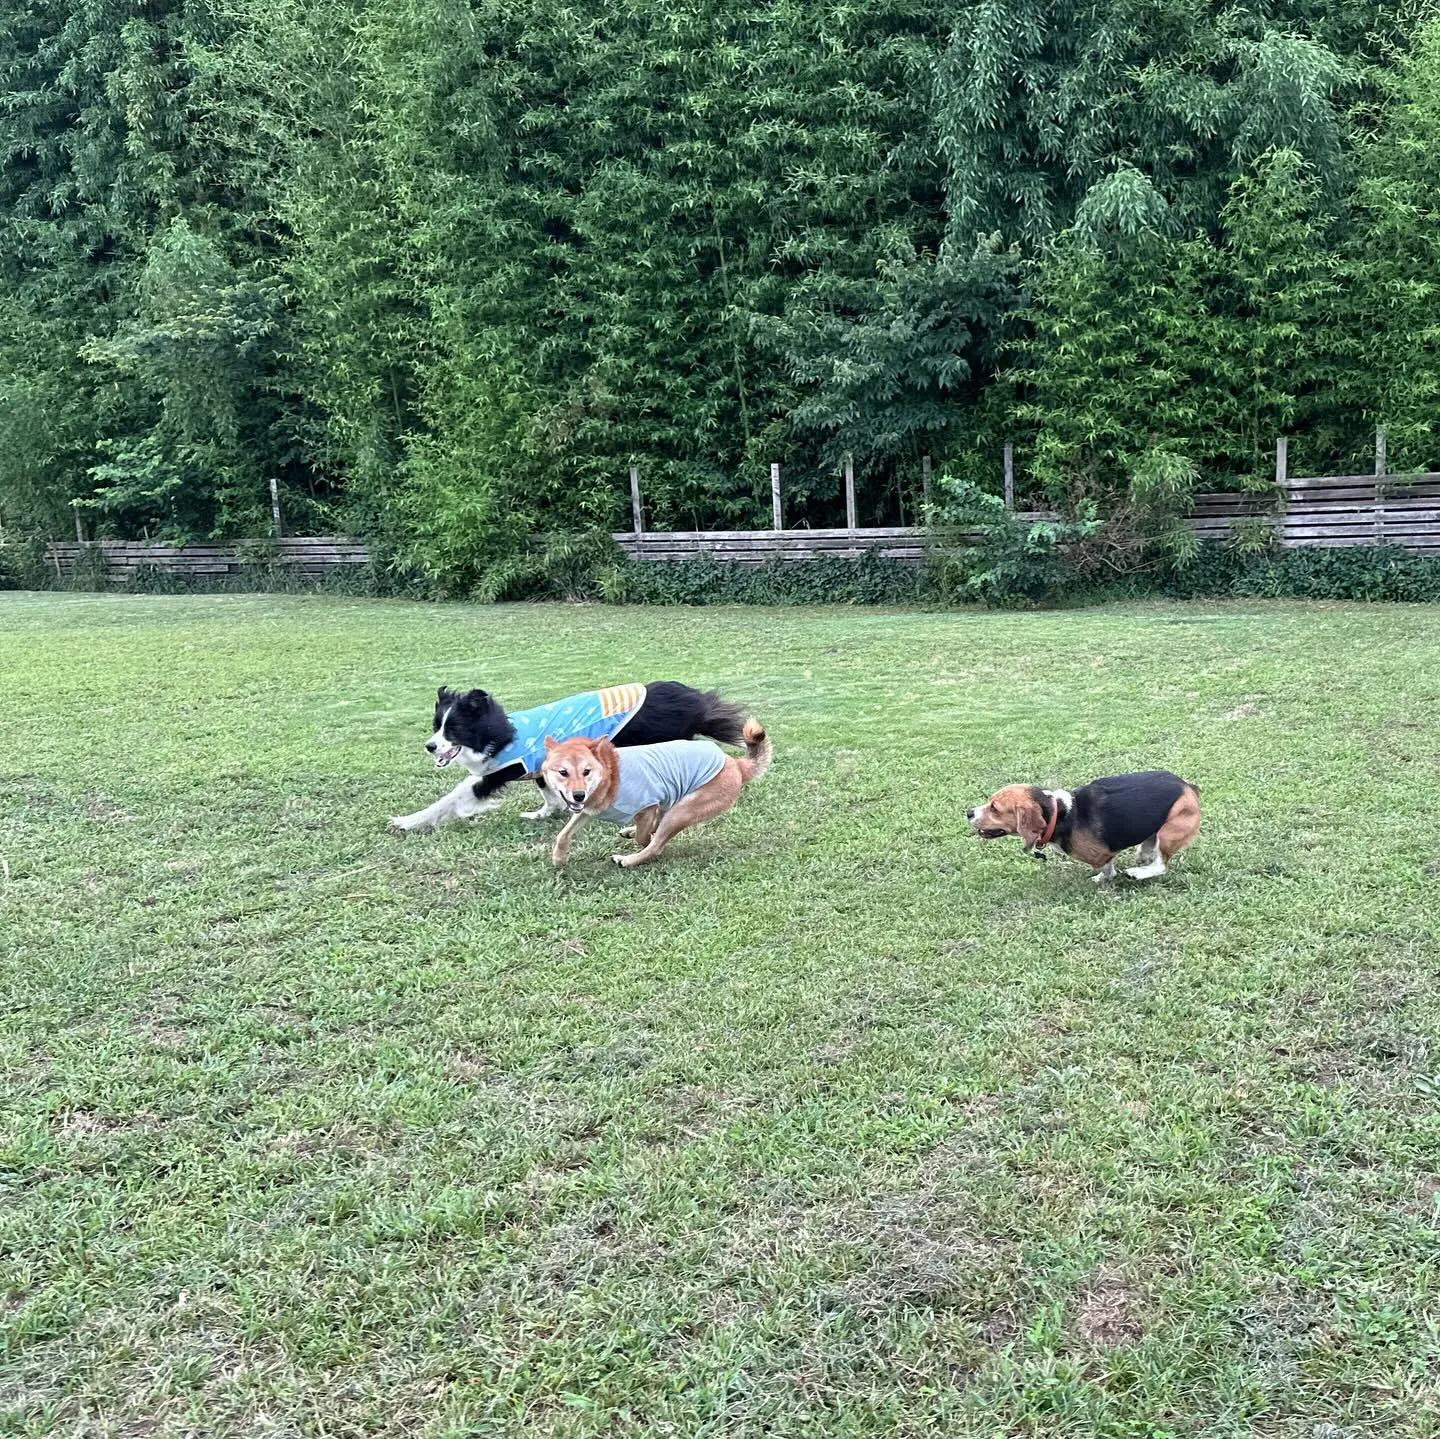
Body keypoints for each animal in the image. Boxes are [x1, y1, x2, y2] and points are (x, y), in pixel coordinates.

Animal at [388, 682, 748, 841]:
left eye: (454, 729)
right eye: (436, 725)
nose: (430, 746)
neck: (498, 731)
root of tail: (694, 702)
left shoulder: (493, 774)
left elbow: (451, 798)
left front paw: (408, 821)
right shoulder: (543, 768)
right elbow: (549, 792)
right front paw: (544, 812)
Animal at [538, 720, 771, 864]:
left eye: (586, 771)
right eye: (563, 772)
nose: (579, 795)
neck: (611, 774)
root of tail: (736, 764)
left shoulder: (647, 806)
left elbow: (645, 838)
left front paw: (642, 839)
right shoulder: (587, 811)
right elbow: (563, 834)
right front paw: (559, 858)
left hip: (681, 811)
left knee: (656, 844)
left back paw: (629, 859)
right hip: (671, 801)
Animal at [967, 772, 1203, 881]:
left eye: (994, 808)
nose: (968, 812)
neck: (1059, 814)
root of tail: (1188, 786)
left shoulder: (1101, 856)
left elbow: (1107, 869)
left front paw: (1104, 878)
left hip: (1170, 831)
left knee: (1161, 865)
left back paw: (1139, 872)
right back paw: (1143, 853)